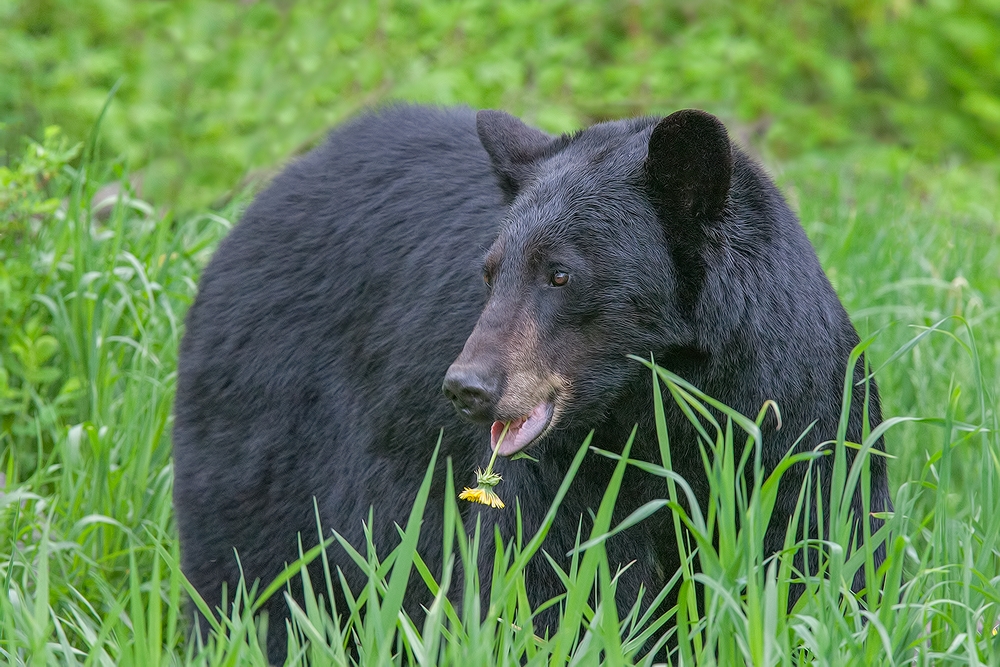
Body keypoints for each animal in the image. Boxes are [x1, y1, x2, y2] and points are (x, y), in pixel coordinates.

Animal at [174, 105, 892, 664]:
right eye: (491, 271)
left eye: (561, 274)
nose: (467, 386)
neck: (658, 410)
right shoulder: (565, 477)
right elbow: (550, 590)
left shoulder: (800, 433)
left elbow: (811, 572)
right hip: (266, 421)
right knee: (252, 574)